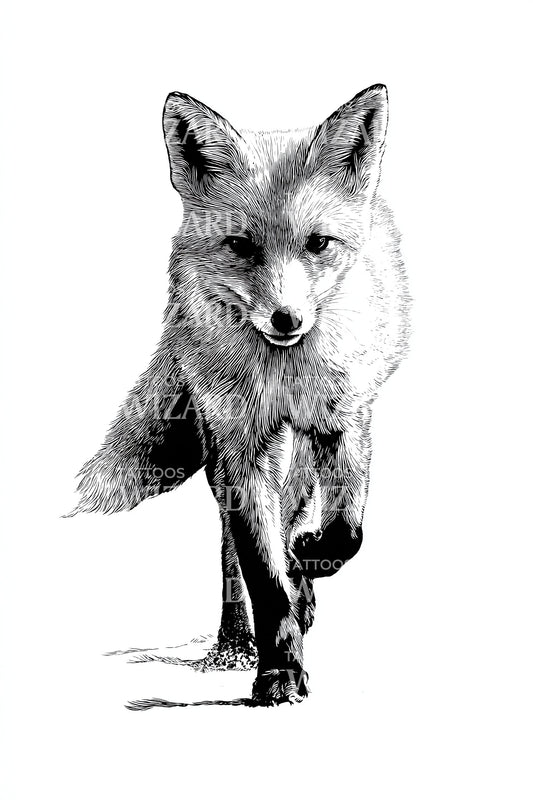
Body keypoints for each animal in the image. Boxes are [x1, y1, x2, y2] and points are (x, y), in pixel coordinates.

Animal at [72, 83, 410, 705]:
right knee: (233, 549)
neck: (282, 375)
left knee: (297, 509)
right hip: (230, 450)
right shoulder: (240, 443)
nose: (285, 318)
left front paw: (311, 560)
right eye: (240, 246)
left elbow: (346, 530)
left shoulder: (343, 420)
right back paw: (236, 642)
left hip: (303, 443)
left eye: (319, 243)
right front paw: (278, 673)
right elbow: (261, 573)